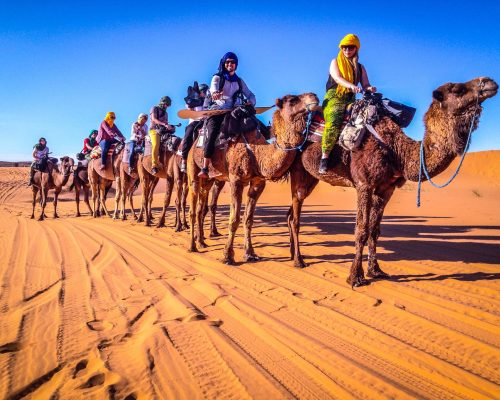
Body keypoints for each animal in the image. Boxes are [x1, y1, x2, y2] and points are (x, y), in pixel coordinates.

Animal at [188, 92, 320, 264]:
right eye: (292, 100)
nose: (314, 97)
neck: (257, 153)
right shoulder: (236, 180)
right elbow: (234, 219)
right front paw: (227, 256)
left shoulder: (258, 183)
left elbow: (248, 219)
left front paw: (250, 253)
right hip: (192, 167)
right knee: (193, 206)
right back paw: (192, 246)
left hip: (209, 179)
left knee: (200, 206)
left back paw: (201, 242)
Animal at [288, 76, 498, 286]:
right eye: (458, 89)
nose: (489, 82)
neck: (397, 151)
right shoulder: (364, 184)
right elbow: (361, 230)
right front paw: (355, 277)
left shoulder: (386, 189)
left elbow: (374, 230)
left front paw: (376, 270)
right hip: (298, 169)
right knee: (296, 215)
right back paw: (299, 261)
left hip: (310, 177)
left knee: (291, 213)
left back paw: (292, 255)